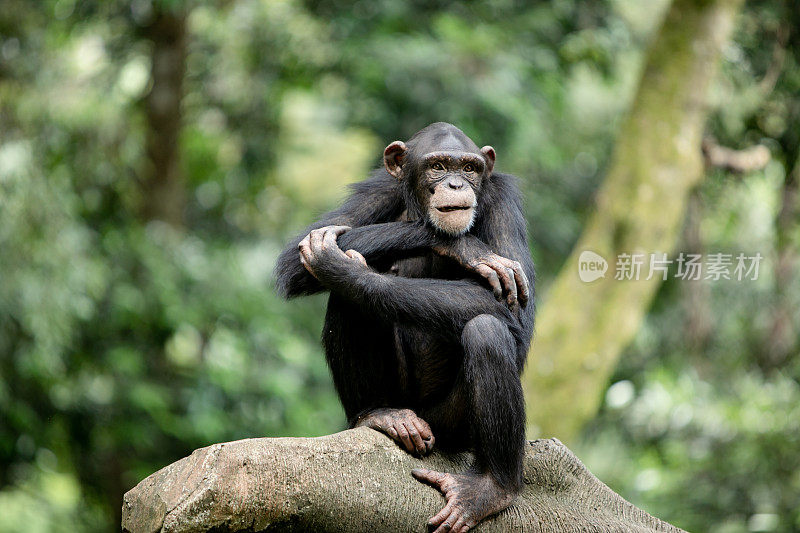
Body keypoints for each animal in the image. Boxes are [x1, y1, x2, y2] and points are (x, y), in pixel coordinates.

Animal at [276, 122, 536, 528]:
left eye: (470, 169)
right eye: (438, 166)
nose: (456, 185)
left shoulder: (504, 204)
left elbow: (514, 317)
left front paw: (343, 267)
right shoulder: (379, 189)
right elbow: (297, 257)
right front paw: (460, 246)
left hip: (448, 427)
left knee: (487, 333)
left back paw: (493, 488)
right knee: (348, 299)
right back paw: (379, 415)